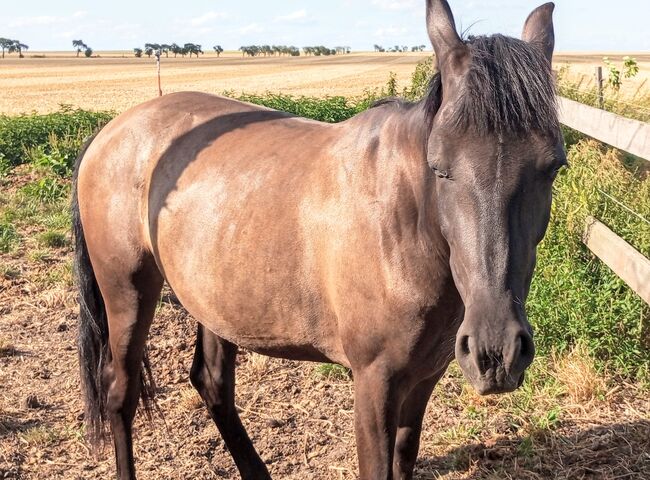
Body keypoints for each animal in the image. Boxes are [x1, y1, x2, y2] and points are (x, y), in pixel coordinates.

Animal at [73, 1, 564, 478]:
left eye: (553, 166)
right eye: (439, 166)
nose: (496, 352)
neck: (403, 227)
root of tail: (113, 130)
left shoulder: (424, 377)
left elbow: (404, 459)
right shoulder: (374, 382)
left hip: (213, 298)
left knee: (212, 383)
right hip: (128, 292)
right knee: (121, 392)